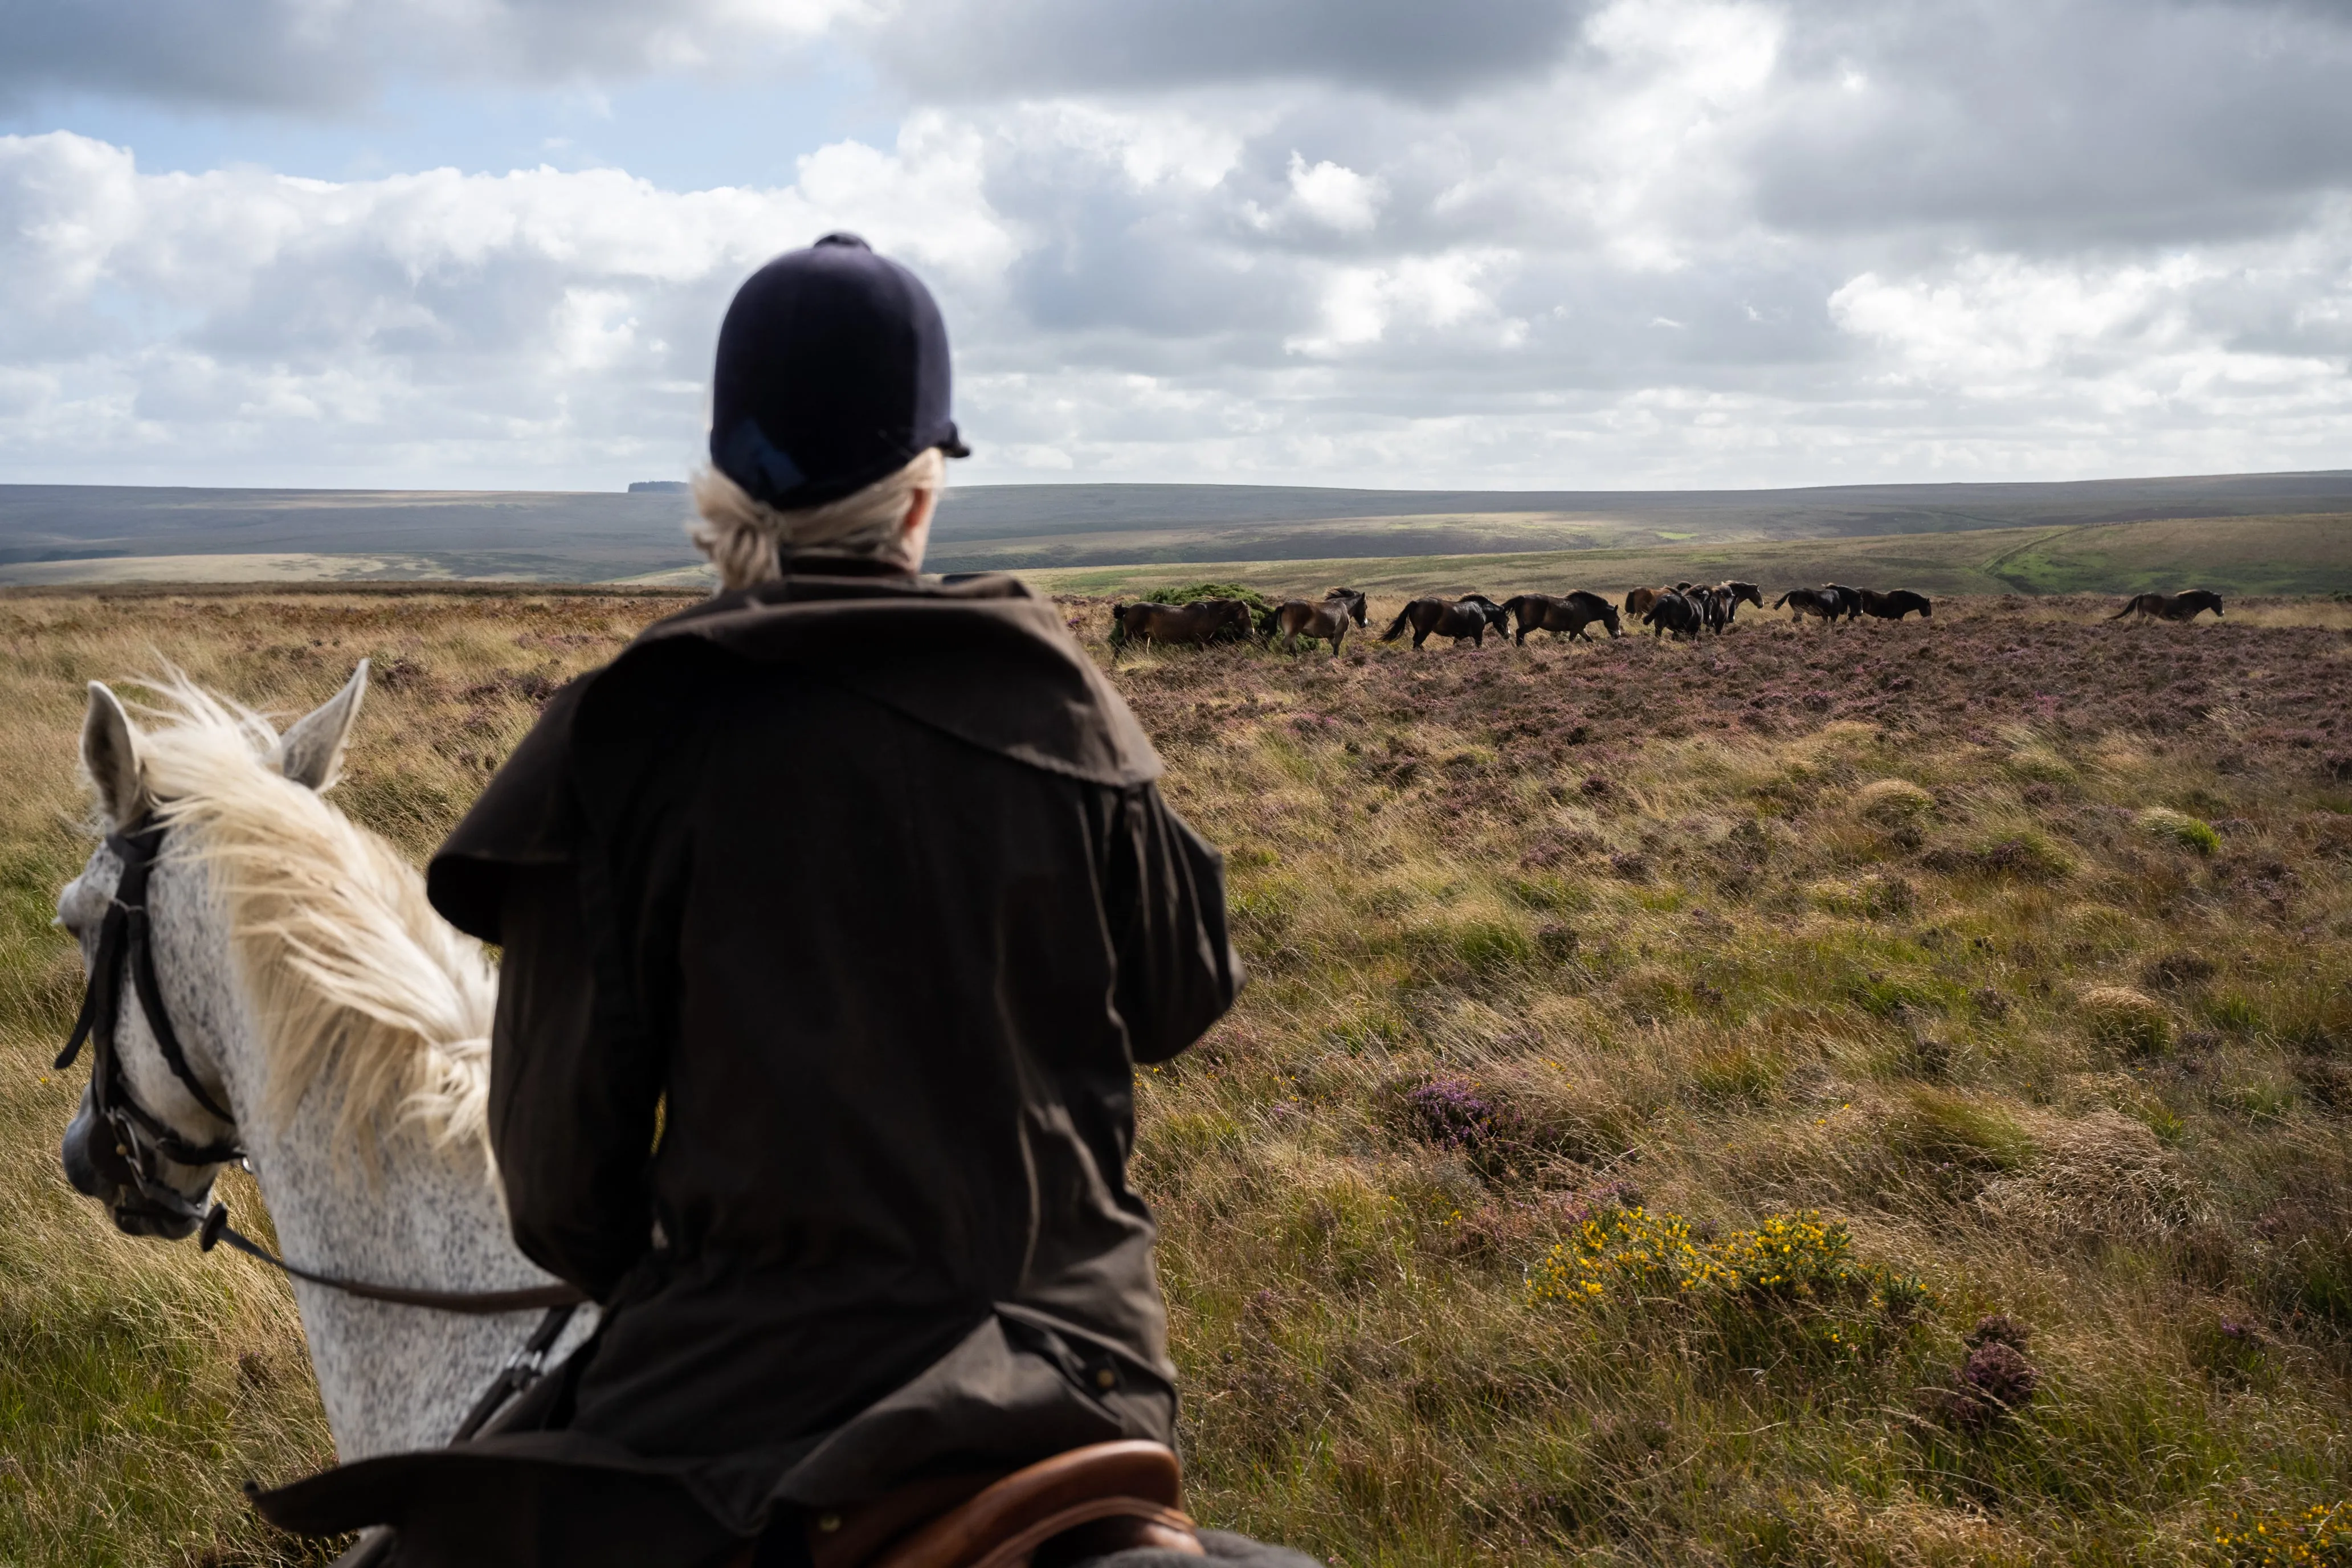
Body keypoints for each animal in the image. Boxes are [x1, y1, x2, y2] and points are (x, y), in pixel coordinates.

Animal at [1110, 602, 1260, 648]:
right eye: (1248, 616)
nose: (1252, 631)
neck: (1210, 614)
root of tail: (1128, 609)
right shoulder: (1198, 640)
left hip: (1144, 637)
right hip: (1131, 635)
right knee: (1118, 648)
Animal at [1260, 594, 1373, 658]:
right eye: (1366, 606)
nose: (1365, 623)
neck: (1343, 607)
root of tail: (1284, 606)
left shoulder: (1330, 637)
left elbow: (1334, 650)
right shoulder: (1340, 634)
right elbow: (1336, 651)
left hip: (1292, 635)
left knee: (1293, 651)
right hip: (1291, 634)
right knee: (1284, 647)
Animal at [1373, 597, 1505, 654]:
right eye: (1506, 619)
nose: (1507, 635)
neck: (1481, 611)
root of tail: (1416, 603)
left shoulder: (1459, 636)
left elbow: (1455, 645)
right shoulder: (1478, 635)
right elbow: (1478, 646)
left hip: (1418, 630)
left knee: (1416, 642)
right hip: (1425, 630)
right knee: (1417, 643)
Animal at [2117, 587, 2220, 625]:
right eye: (2219, 602)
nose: (2222, 613)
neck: (2194, 600)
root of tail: (2144, 595)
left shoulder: (2184, 620)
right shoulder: (2188, 619)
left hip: (2142, 614)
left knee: (2136, 623)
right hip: (2152, 615)